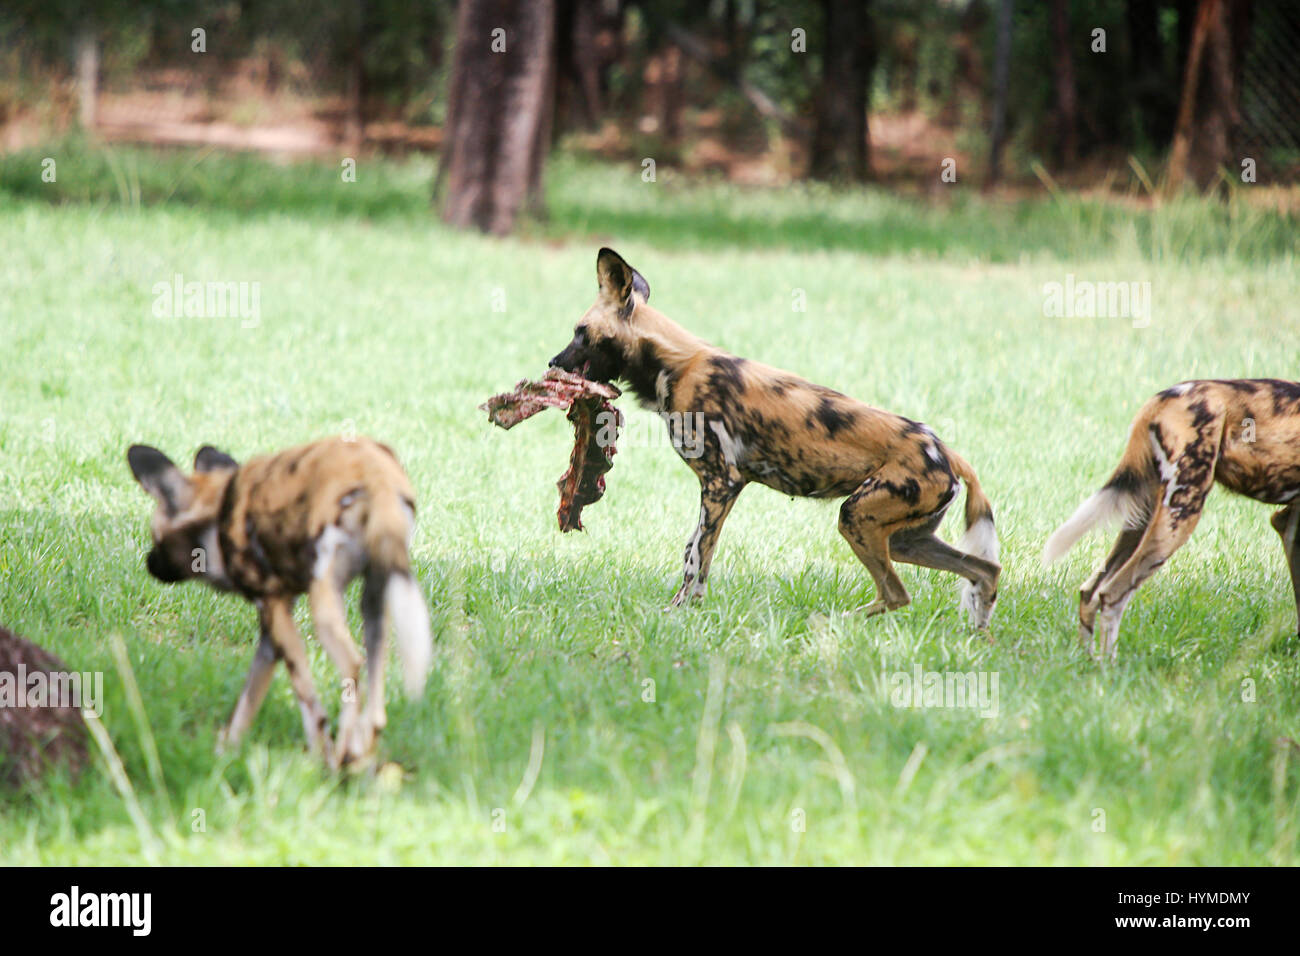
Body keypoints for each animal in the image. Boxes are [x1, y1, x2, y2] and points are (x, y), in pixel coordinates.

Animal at [127, 437, 434, 764]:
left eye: (156, 537)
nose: (149, 564)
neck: (217, 516)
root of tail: (375, 474)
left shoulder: (272, 609)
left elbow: (307, 701)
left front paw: (318, 758)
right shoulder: (274, 628)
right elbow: (249, 701)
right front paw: (227, 753)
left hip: (324, 603)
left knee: (352, 664)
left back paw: (342, 755)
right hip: (377, 597)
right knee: (376, 706)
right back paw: (358, 754)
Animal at [548, 248, 1003, 629]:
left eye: (580, 332)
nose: (553, 361)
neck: (673, 365)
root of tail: (946, 451)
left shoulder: (721, 484)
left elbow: (697, 559)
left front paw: (679, 613)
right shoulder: (720, 489)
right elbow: (691, 550)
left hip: (857, 518)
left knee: (897, 593)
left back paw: (831, 623)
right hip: (908, 538)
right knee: (983, 571)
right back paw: (978, 636)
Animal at [1040, 377, 1300, 660]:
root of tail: (1163, 397)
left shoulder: (1288, 520)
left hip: (1143, 517)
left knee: (1090, 591)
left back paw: (1085, 660)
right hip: (1179, 515)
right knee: (1110, 594)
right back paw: (1109, 665)